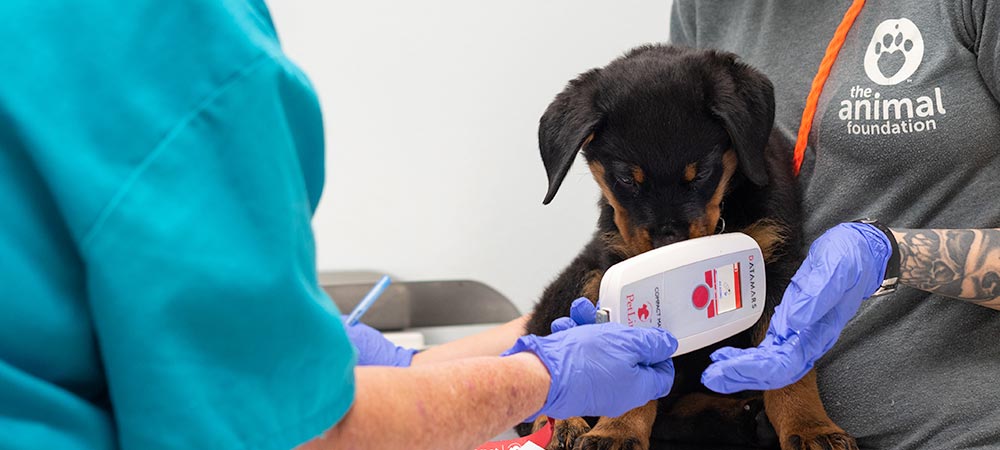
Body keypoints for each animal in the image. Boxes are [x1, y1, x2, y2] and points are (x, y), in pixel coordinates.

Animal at [520, 46, 856, 450]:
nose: (670, 242)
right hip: (584, 279)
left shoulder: (778, 266)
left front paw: (811, 428)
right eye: (625, 180)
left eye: (703, 173)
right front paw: (616, 431)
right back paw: (564, 425)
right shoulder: (618, 266)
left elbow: (791, 370)